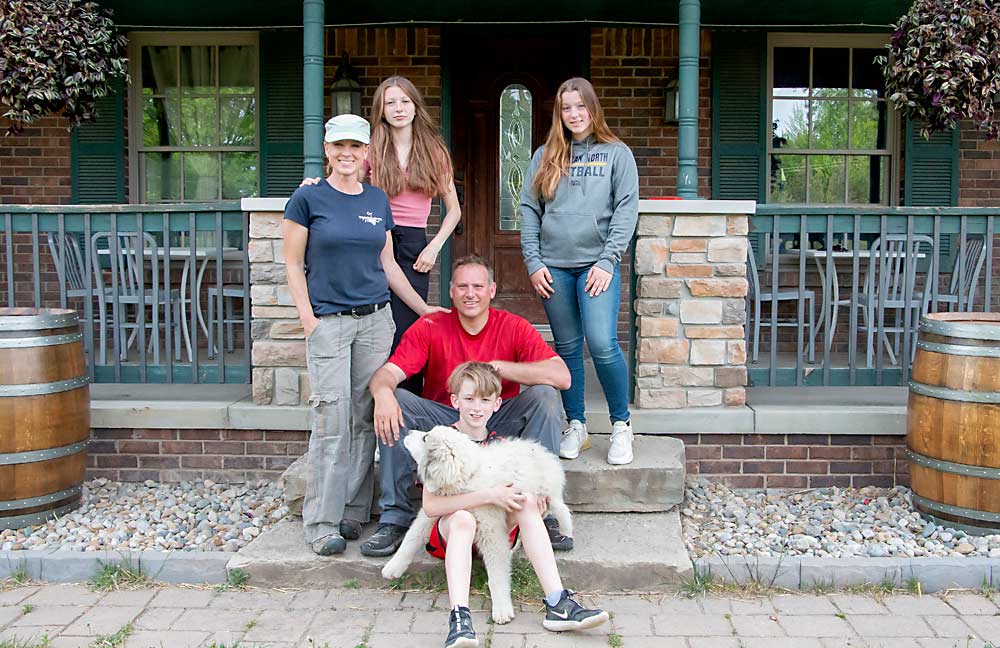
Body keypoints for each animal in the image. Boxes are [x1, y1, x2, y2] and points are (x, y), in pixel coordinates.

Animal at [380, 426, 572, 624]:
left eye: (425, 438)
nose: (408, 431)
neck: (467, 478)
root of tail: (544, 453)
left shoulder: (491, 531)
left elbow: (497, 574)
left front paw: (502, 609)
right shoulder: (431, 509)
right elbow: (412, 537)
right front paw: (393, 567)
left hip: (538, 493)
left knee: (558, 508)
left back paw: (564, 529)